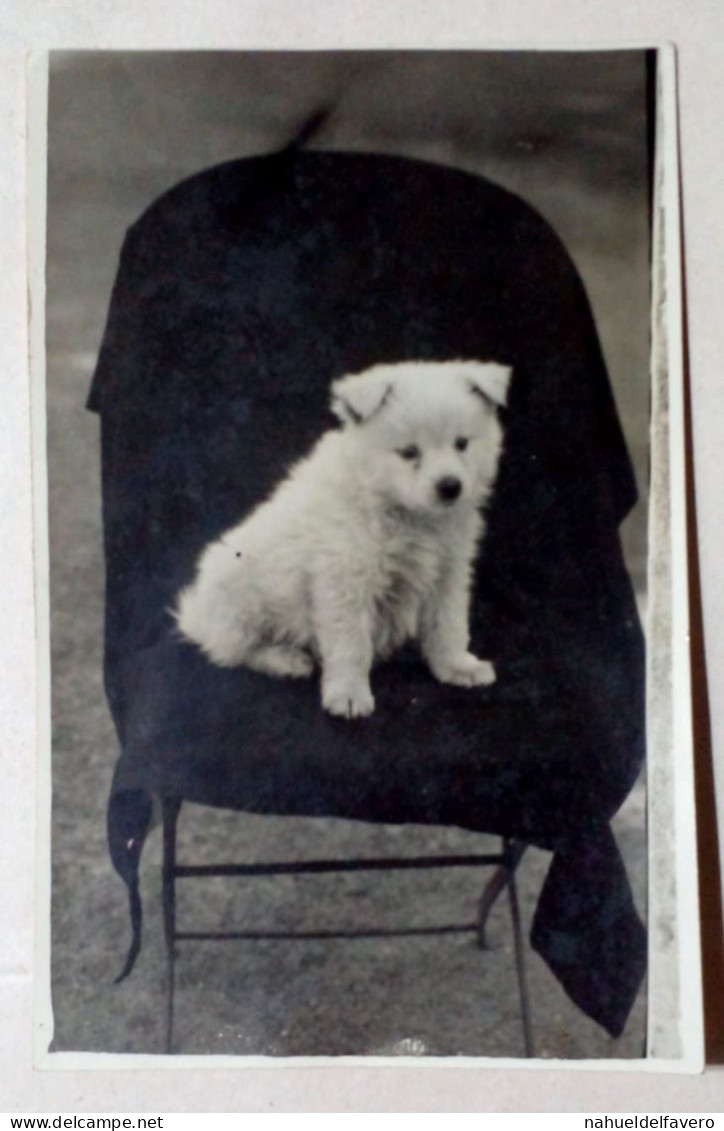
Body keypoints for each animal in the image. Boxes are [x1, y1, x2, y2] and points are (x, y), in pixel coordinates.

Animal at [174, 357, 509, 719]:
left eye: (462, 443)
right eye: (409, 452)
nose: (450, 487)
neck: (405, 514)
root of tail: (195, 616)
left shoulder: (448, 573)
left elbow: (448, 625)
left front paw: (458, 667)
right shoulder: (345, 578)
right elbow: (351, 644)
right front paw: (349, 695)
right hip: (238, 600)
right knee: (236, 650)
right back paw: (286, 658)